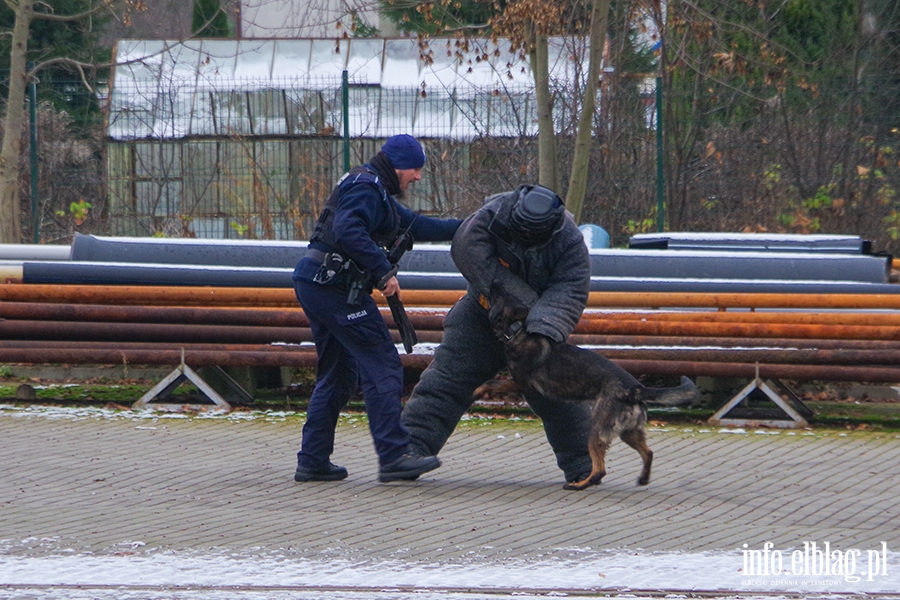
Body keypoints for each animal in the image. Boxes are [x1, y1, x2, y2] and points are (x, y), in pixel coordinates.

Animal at [474, 298, 700, 490]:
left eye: (496, 299)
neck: (518, 330)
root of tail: (634, 389)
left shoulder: (521, 384)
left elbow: (491, 382)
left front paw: (477, 392)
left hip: (596, 431)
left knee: (600, 469)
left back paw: (579, 485)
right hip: (629, 432)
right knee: (648, 453)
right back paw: (643, 479)